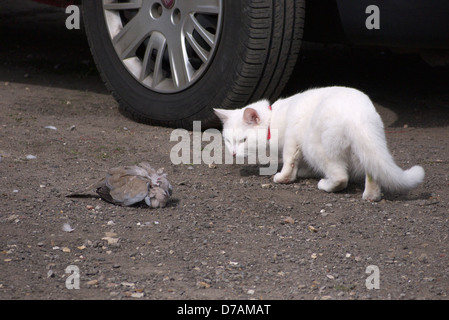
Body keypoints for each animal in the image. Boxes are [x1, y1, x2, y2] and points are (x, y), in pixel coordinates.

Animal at [214, 86, 424, 201]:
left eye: (243, 140)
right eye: (228, 141)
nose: (233, 153)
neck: (274, 119)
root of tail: (356, 114)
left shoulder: (292, 139)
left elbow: (289, 161)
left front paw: (283, 177)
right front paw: (304, 172)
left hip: (315, 145)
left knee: (341, 176)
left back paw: (325, 184)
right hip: (365, 146)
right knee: (372, 170)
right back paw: (371, 195)